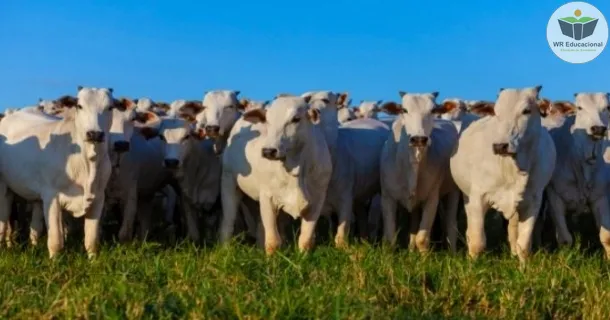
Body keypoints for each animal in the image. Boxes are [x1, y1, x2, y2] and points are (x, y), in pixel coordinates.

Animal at [0, 86, 116, 258]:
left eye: (110, 107)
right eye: (79, 106)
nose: (95, 134)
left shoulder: (98, 198)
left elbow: (92, 240)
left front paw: (93, 261)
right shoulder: (52, 196)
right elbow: (56, 239)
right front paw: (55, 261)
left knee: (35, 226)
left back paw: (33, 247)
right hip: (4, 187)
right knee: (4, 219)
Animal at [220, 96, 332, 254]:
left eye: (296, 119)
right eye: (267, 120)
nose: (268, 151)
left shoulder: (317, 200)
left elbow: (306, 240)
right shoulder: (267, 197)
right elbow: (273, 241)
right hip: (228, 182)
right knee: (228, 221)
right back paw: (225, 247)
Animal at [378, 91, 458, 251]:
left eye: (433, 110)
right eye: (404, 110)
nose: (419, 139)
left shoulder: (432, 198)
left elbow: (422, 239)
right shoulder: (387, 197)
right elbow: (390, 238)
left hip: (453, 192)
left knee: (451, 223)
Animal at [446, 85, 556, 262]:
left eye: (526, 111)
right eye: (497, 113)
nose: (500, 146)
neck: (511, 169)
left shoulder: (534, 201)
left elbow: (523, 244)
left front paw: (523, 266)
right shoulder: (477, 198)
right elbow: (477, 241)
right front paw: (472, 266)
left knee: (512, 231)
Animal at [540, 92, 608, 258]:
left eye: (607, 107)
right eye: (580, 107)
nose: (598, 128)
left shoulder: (600, 197)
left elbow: (606, 237)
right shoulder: (554, 198)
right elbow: (565, 239)